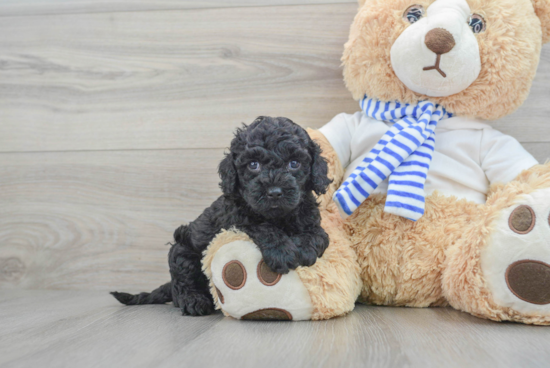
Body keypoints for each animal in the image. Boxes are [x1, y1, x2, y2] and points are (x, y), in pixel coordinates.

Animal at [112, 117, 332, 316]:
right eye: (253, 164)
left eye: (294, 163)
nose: (274, 192)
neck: (279, 217)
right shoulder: (235, 220)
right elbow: (261, 226)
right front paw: (282, 252)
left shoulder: (310, 217)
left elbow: (319, 235)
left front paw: (304, 248)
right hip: (182, 249)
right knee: (182, 279)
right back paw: (194, 301)